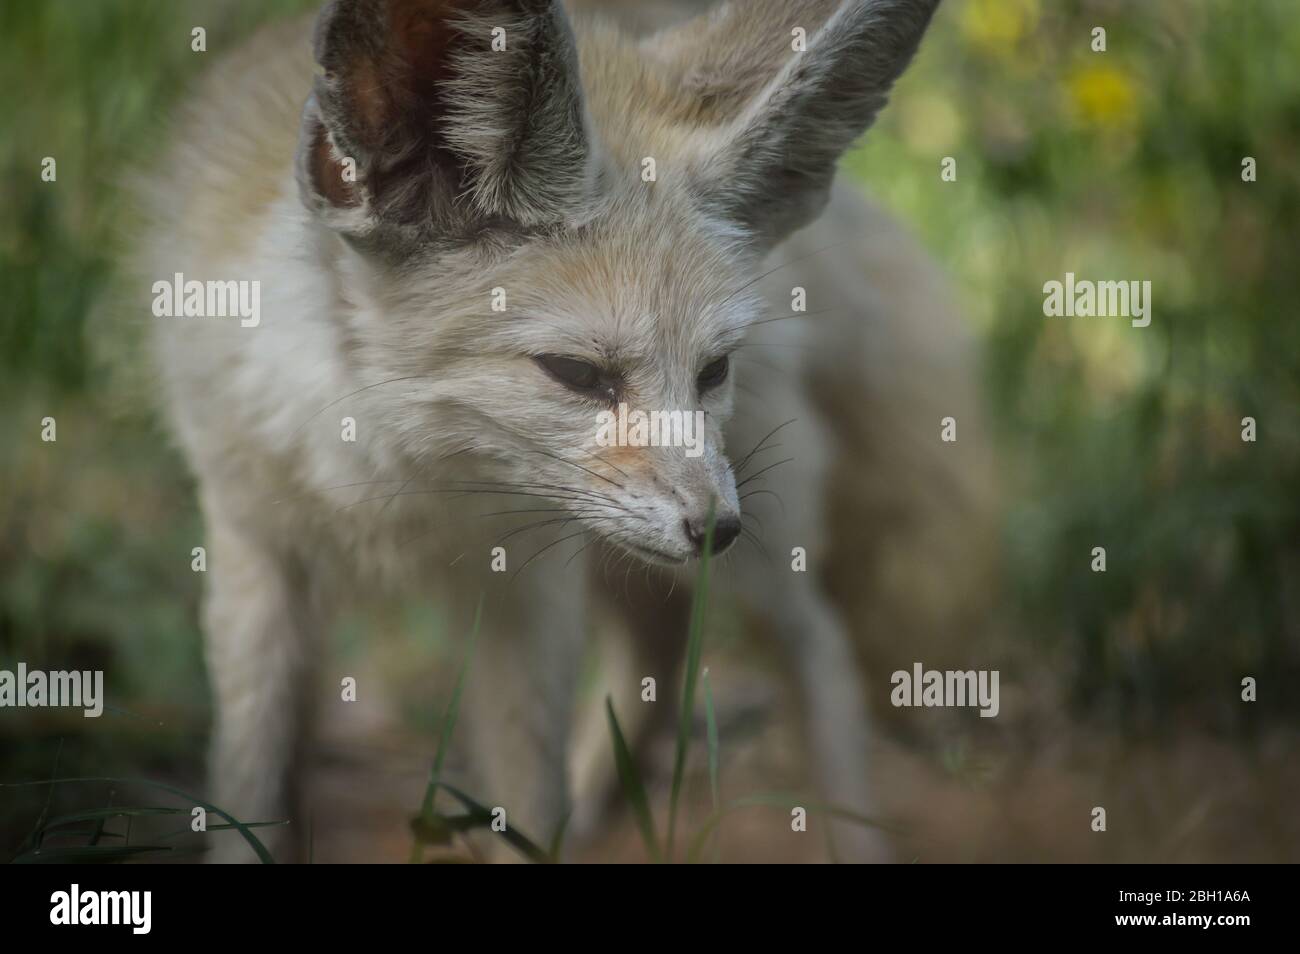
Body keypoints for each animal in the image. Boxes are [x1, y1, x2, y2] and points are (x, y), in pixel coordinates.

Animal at [135, 0, 993, 862]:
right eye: (577, 374)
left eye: (713, 369)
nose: (715, 529)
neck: (402, 480)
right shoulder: (253, 548)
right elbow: (254, 783)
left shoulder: (531, 583)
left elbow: (527, 791)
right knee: (662, 646)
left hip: (759, 551)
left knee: (820, 655)